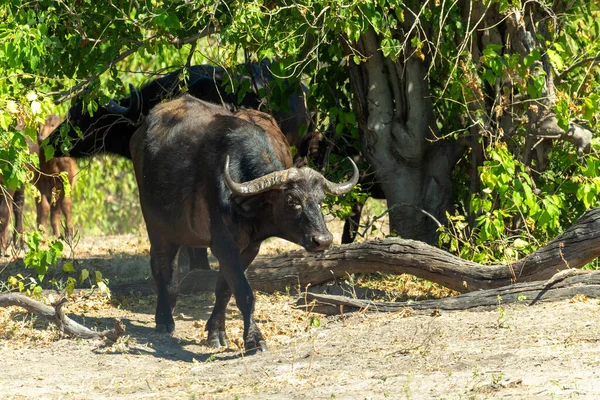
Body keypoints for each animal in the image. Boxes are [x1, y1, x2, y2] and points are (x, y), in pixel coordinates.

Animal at [129, 94, 358, 354]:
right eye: (292, 201)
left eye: (320, 200)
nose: (323, 240)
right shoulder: (223, 245)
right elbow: (245, 293)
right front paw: (254, 340)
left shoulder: (249, 248)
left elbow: (224, 289)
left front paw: (216, 332)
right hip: (156, 227)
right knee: (160, 266)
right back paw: (164, 319)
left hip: (177, 229)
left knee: (171, 267)